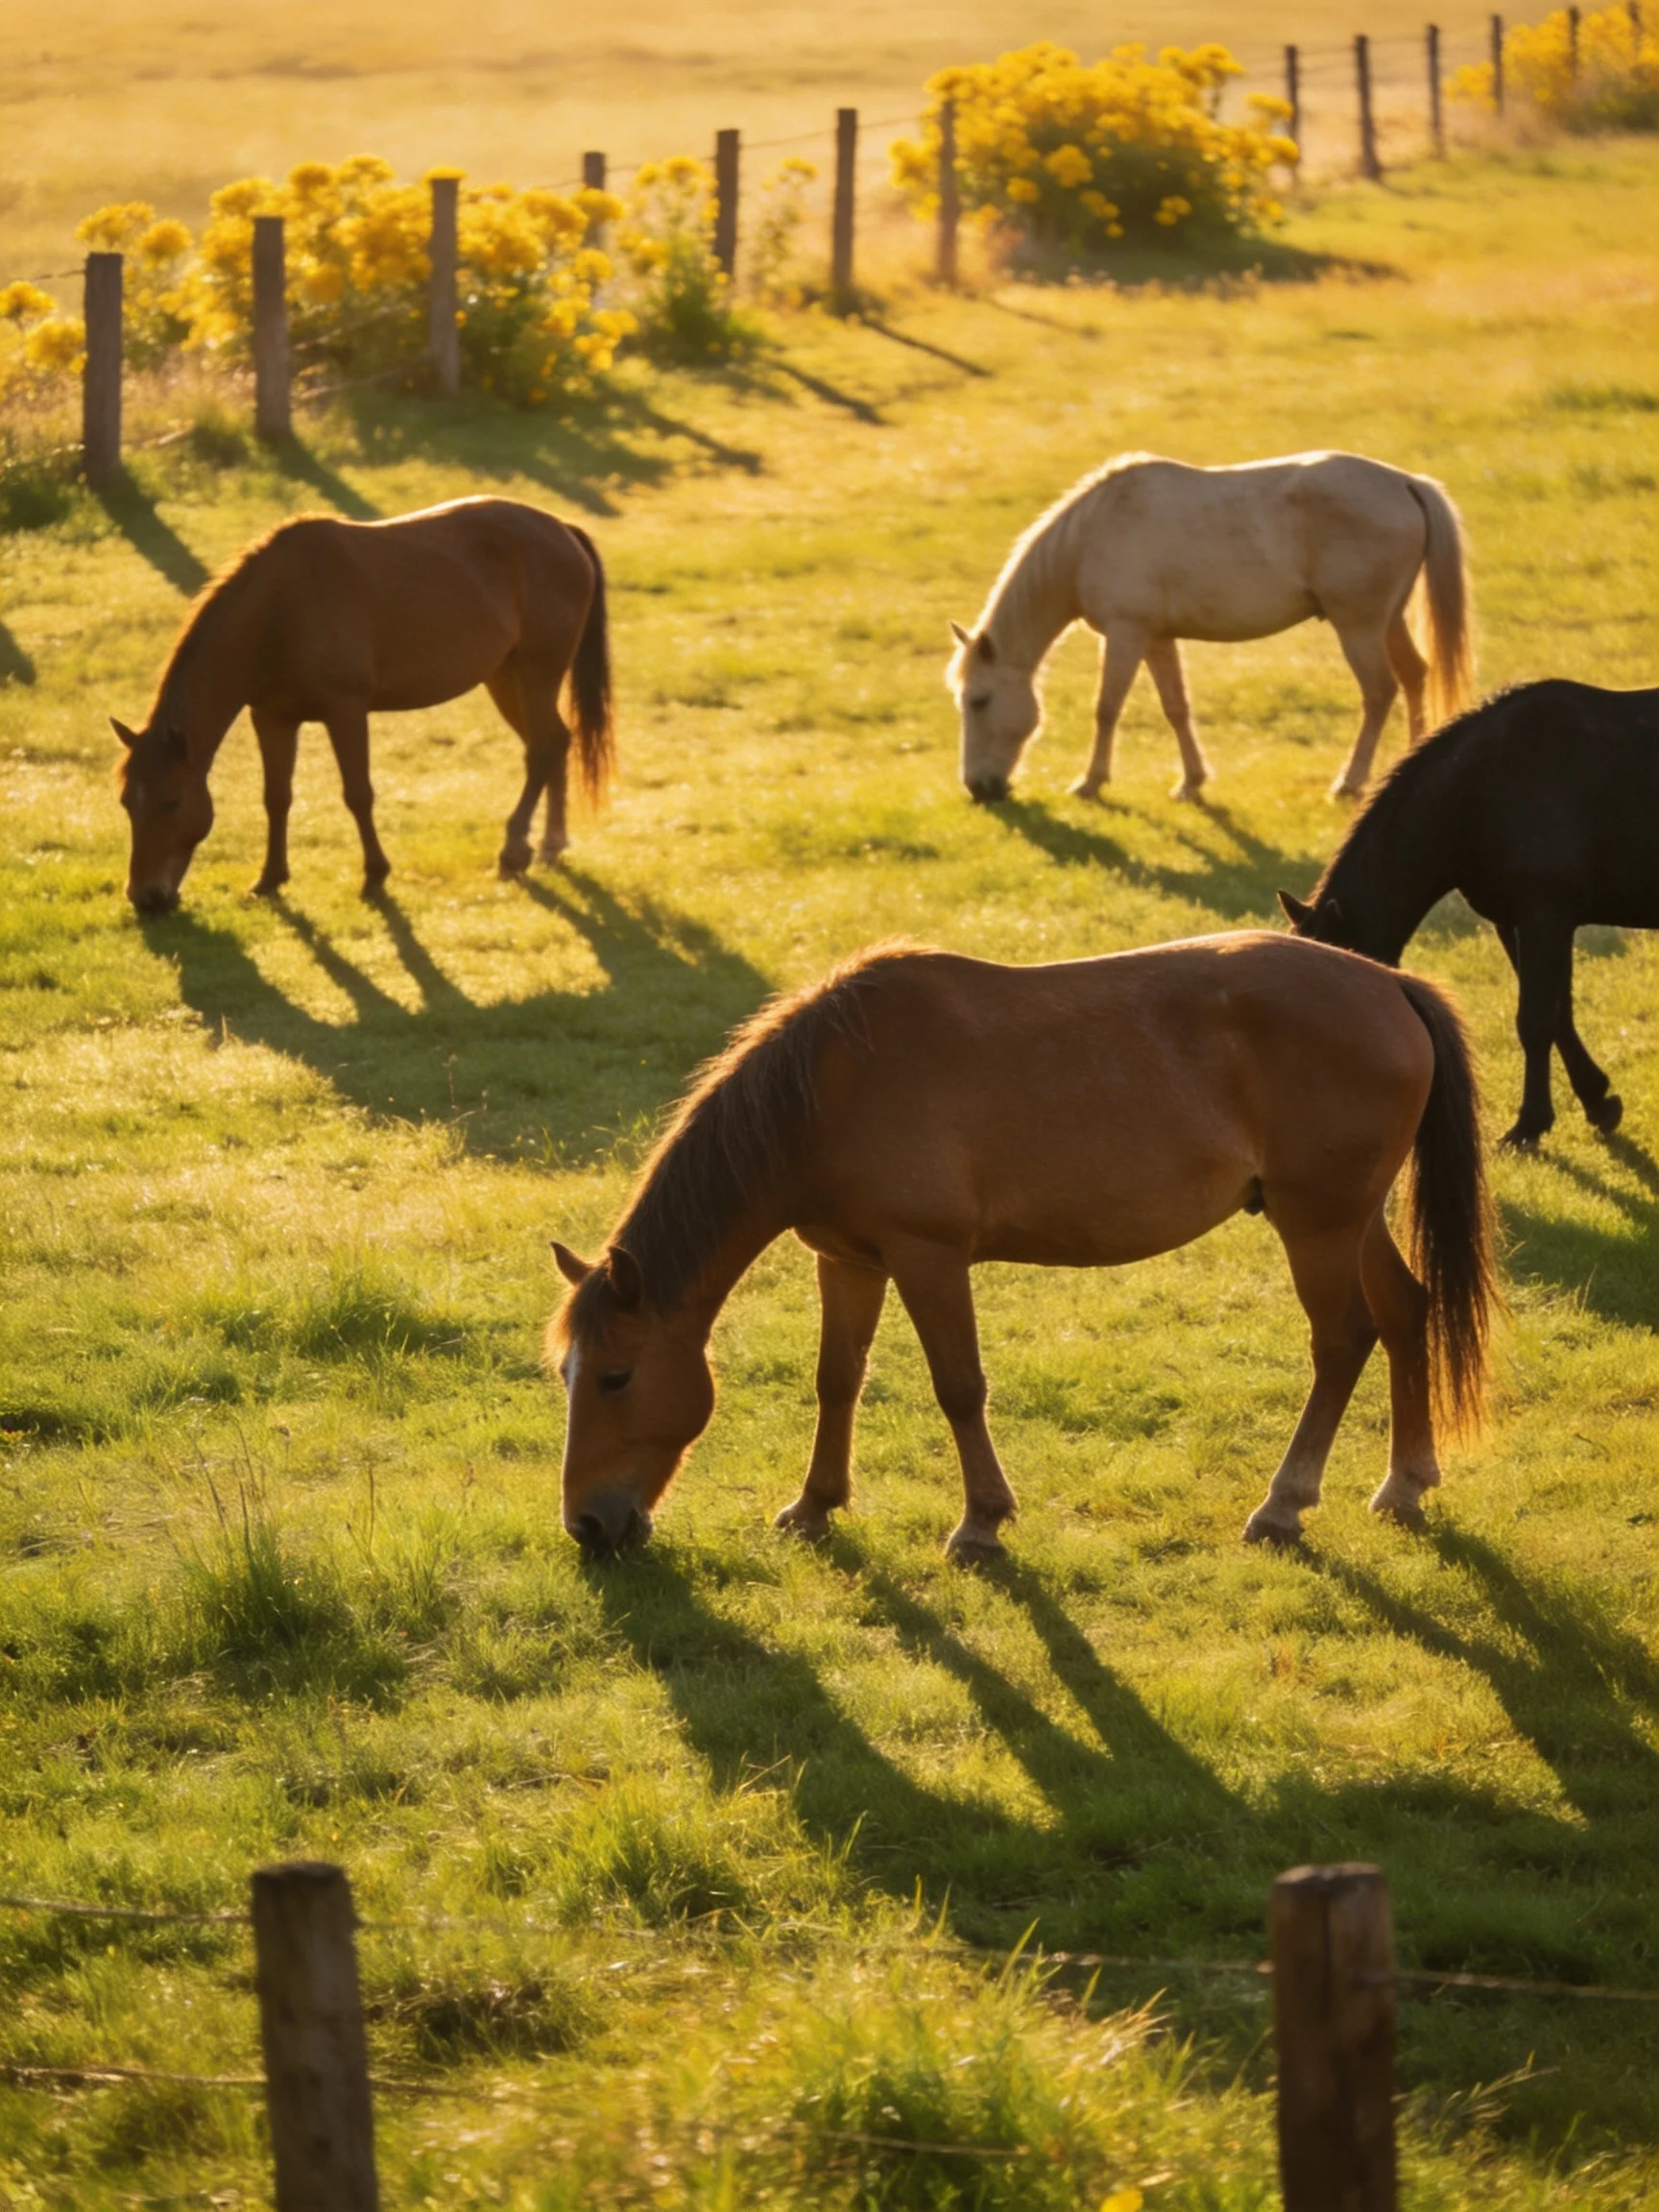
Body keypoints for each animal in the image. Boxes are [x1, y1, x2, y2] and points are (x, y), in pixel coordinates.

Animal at [114, 496, 611, 913]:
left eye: (172, 802)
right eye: (126, 804)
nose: (145, 898)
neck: (280, 609)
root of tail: (562, 530)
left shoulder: (346, 711)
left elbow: (358, 794)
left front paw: (375, 875)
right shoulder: (272, 718)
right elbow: (276, 797)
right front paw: (270, 878)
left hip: (536, 672)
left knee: (545, 745)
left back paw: (514, 852)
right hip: (505, 678)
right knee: (553, 742)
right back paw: (549, 844)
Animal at [547, 933, 1494, 1563]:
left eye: (616, 1376)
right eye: (567, 1374)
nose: (587, 1524)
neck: (829, 1088)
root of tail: (1391, 984)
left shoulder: (928, 1257)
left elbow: (959, 1388)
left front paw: (979, 1524)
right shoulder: (847, 1259)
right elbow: (837, 1380)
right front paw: (815, 1505)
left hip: (1316, 1226)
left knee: (1342, 1342)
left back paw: (1283, 1505)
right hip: (1350, 1218)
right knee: (1405, 1312)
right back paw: (1406, 1483)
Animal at [948, 450, 1472, 807]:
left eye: (979, 701)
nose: (977, 788)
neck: (1091, 536)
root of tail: (1405, 483)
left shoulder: (1126, 633)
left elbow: (1107, 708)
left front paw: (1090, 783)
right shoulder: (1158, 638)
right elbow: (1176, 709)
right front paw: (1191, 782)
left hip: (1358, 627)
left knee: (1380, 692)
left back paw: (1349, 782)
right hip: (1388, 621)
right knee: (1415, 676)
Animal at [1280, 679, 1659, 1149]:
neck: (1484, 785)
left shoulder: (1544, 917)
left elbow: (1536, 1020)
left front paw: (1529, 1124)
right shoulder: (1516, 922)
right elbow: (1559, 1015)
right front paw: (1598, 1101)